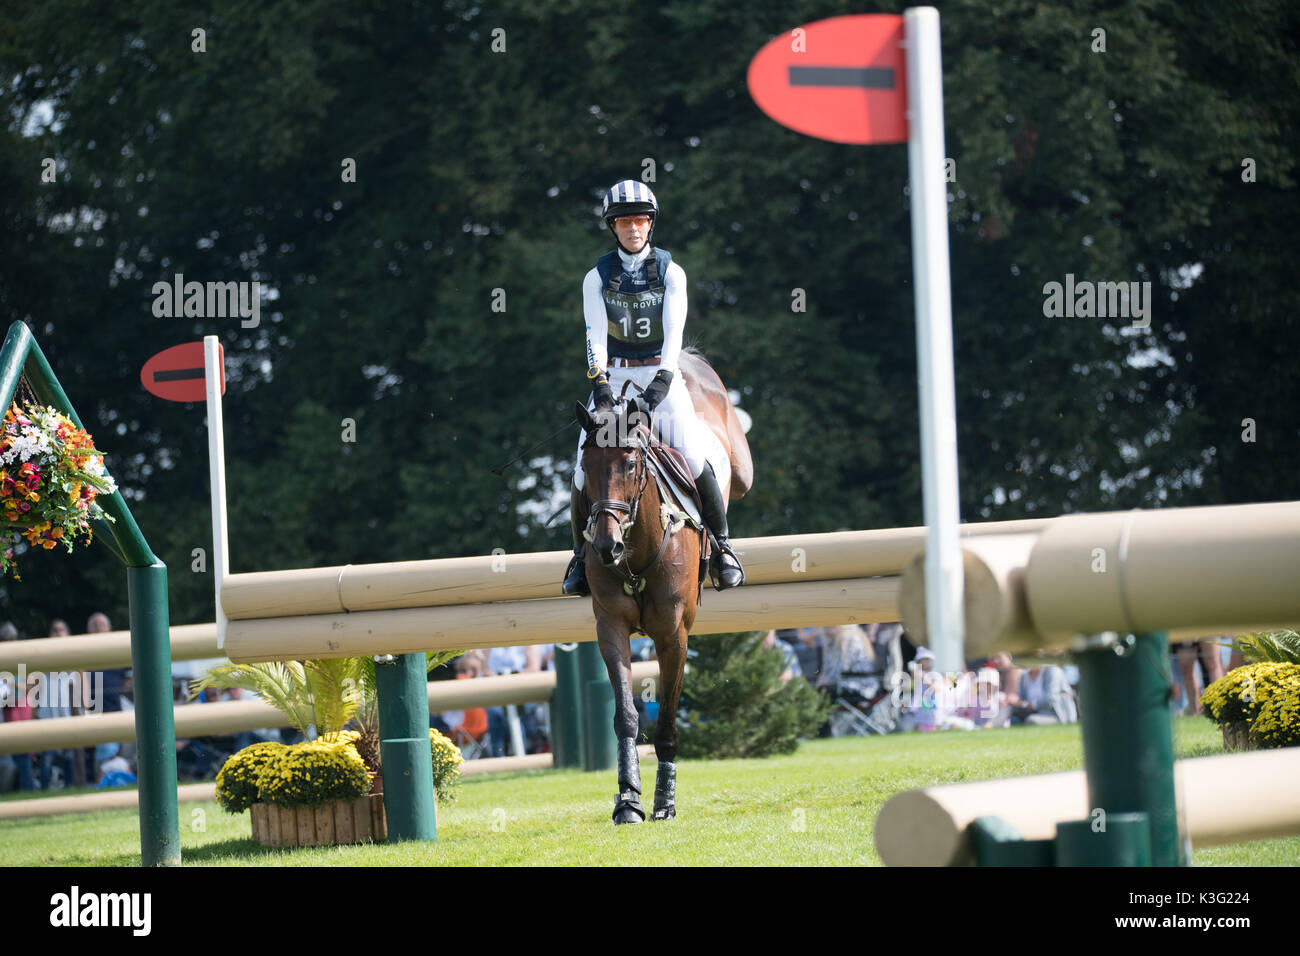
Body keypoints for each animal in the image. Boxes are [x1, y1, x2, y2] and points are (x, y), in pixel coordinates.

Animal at [572, 348, 754, 827]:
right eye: (585, 467)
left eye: (631, 464)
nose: (606, 546)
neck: (636, 553)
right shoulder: (611, 629)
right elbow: (626, 717)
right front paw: (628, 800)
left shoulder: (674, 636)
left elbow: (668, 722)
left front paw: (664, 803)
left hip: (739, 465)